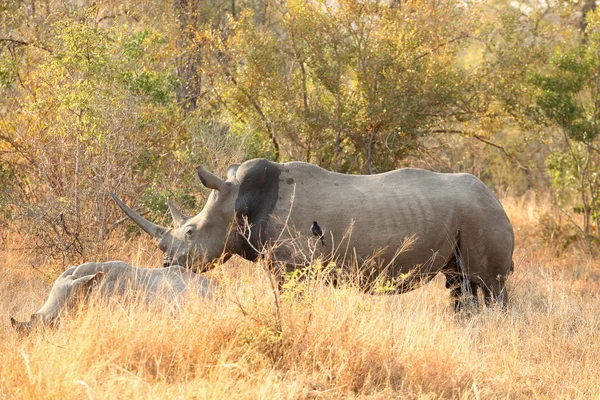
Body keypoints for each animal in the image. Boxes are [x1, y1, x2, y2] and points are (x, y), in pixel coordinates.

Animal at [113, 159, 516, 310]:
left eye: (191, 231)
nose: (167, 263)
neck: (239, 201)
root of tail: (496, 198)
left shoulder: (293, 265)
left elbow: (290, 302)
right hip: (469, 216)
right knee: (460, 283)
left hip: (483, 215)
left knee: (489, 284)